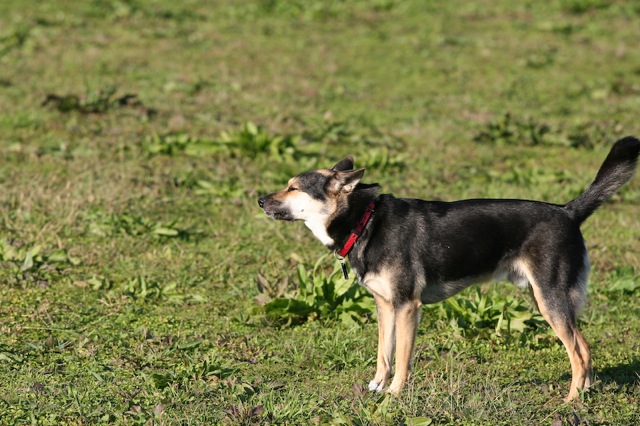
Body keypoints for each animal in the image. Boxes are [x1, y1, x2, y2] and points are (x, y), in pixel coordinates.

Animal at [258, 136, 640, 401]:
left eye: (293, 187)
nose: (260, 199)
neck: (365, 222)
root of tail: (568, 211)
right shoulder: (385, 305)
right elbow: (383, 353)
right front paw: (377, 387)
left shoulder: (407, 307)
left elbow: (402, 358)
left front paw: (394, 395)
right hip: (543, 297)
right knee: (584, 349)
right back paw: (585, 394)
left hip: (550, 300)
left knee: (579, 351)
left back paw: (571, 400)